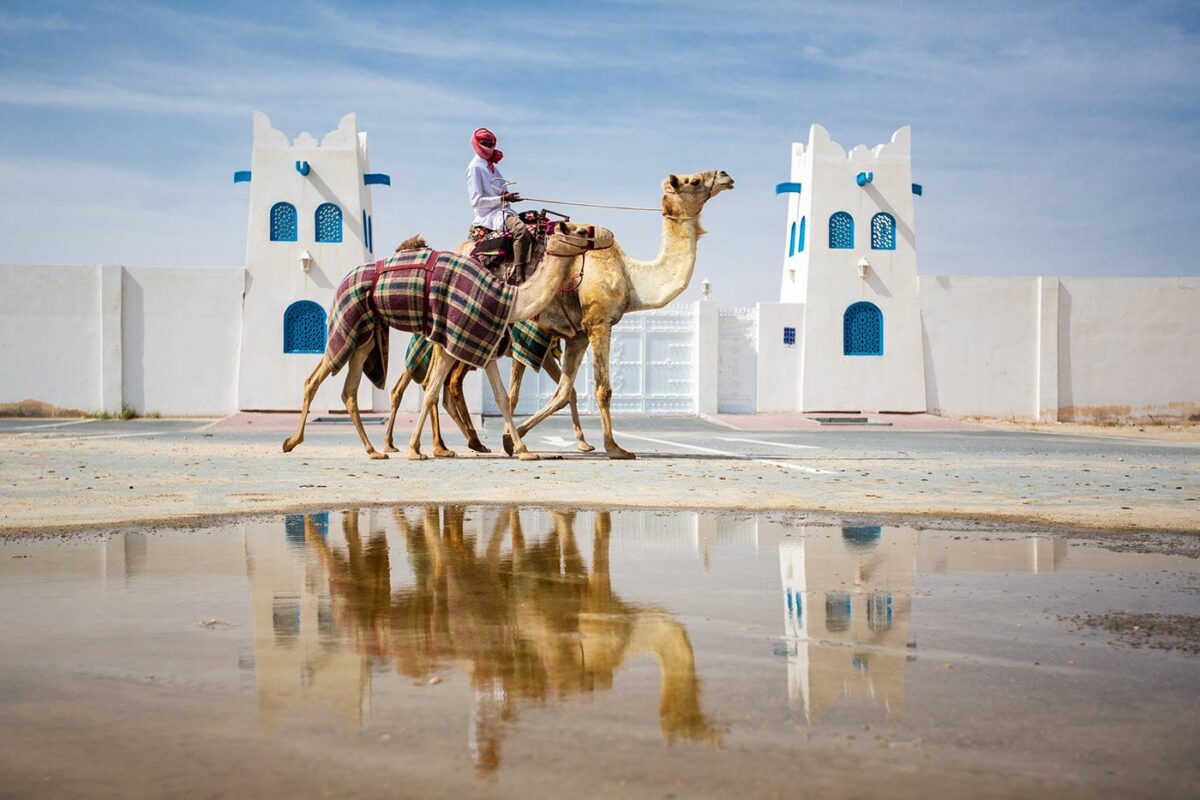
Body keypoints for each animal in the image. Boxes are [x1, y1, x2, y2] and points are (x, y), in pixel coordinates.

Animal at [281, 221, 613, 461]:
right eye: (579, 230)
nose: (605, 234)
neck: (509, 299)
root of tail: (343, 281)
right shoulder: (454, 337)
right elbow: (431, 392)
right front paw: (415, 451)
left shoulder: (483, 343)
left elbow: (502, 398)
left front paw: (522, 450)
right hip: (348, 324)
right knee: (316, 379)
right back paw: (293, 442)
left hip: (366, 336)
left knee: (351, 391)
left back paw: (376, 450)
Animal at [504, 170, 735, 459]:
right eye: (692, 181)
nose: (725, 175)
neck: (629, 274)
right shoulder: (599, 322)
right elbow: (603, 389)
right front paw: (616, 448)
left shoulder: (579, 335)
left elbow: (564, 392)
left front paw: (511, 439)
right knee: (506, 390)